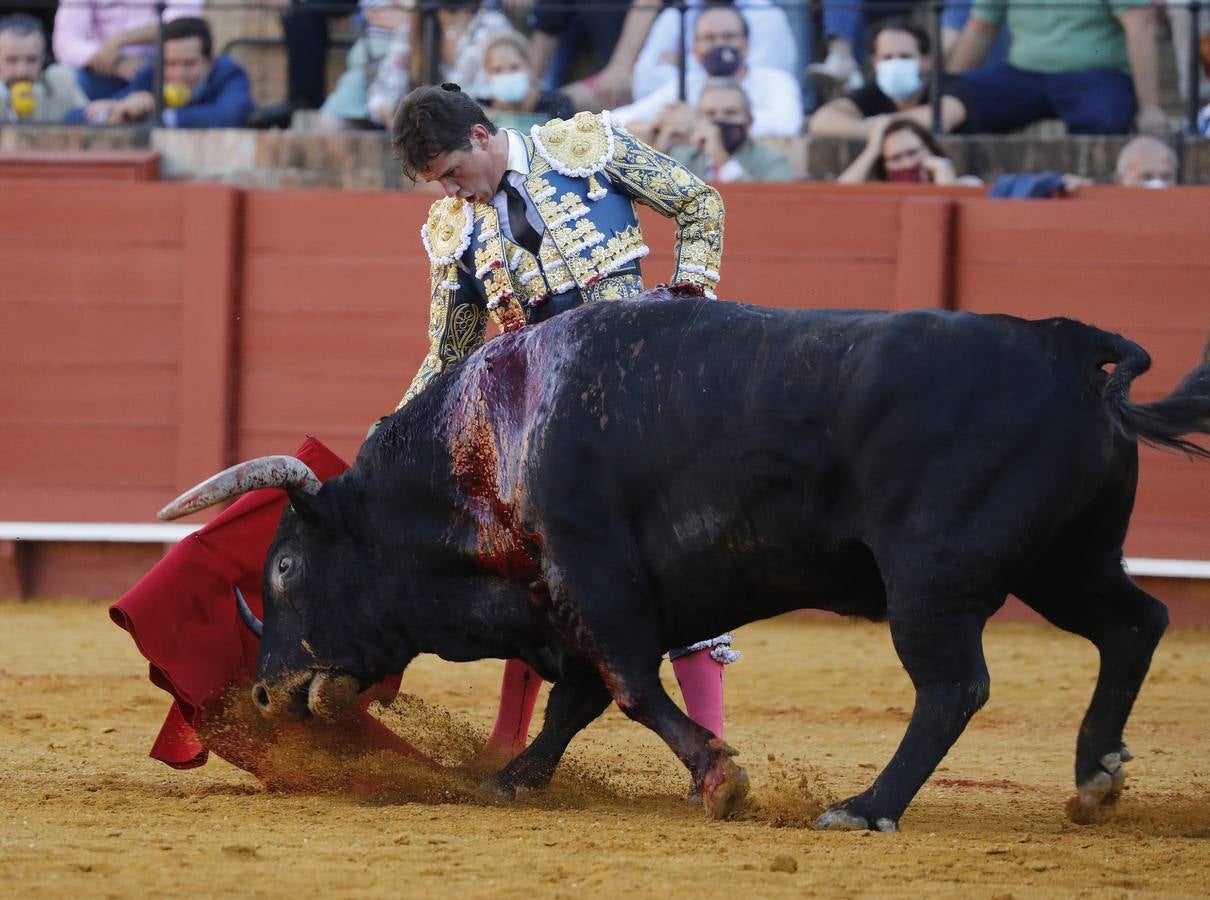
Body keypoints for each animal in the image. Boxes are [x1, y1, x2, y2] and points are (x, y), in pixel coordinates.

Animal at [160, 293, 1210, 827]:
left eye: (284, 570)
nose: (263, 694)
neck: (482, 447)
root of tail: (1068, 347)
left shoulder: (594, 580)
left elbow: (627, 685)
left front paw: (720, 780)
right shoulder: (560, 603)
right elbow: (576, 701)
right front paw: (509, 778)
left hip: (935, 579)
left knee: (954, 687)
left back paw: (865, 807)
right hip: (1067, 561)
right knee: (1136, 624)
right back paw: (1094, 779)